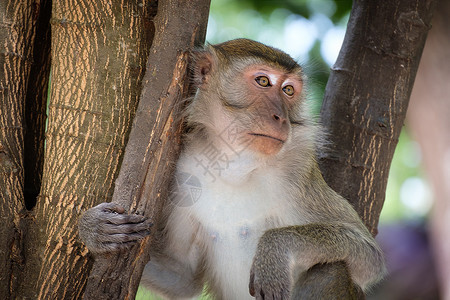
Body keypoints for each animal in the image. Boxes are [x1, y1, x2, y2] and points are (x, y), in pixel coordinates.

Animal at [78, 38, 386, 298]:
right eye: (263, 81)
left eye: (288, 90)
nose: (281, 117)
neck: (234, 163)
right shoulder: (179, 177)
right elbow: (183, 278)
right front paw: (93, 229)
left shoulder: (299, 170)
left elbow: (369, 258)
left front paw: (275, 249)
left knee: (331, 269)